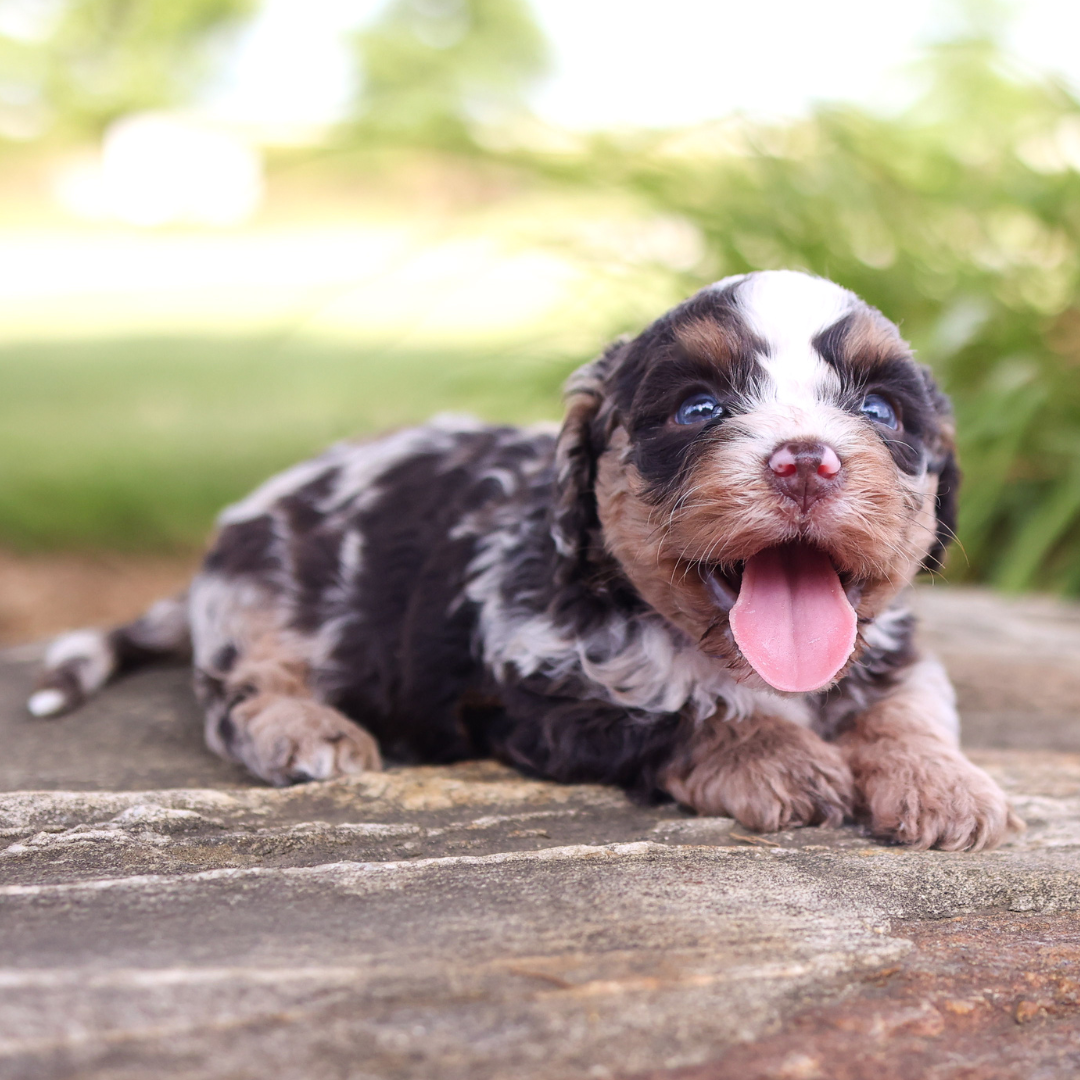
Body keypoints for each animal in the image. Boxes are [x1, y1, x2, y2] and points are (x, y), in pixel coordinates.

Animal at [29, 270, 1015, 851]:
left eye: (880, 410)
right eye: (698, 408)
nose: (806, 460)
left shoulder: (896, 653)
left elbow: (910, 708)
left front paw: (945, 783)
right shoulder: (536, 684)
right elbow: (679, 711)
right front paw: (774, 754)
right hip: (260, 600)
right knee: (234, 696)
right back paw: (304, 732)